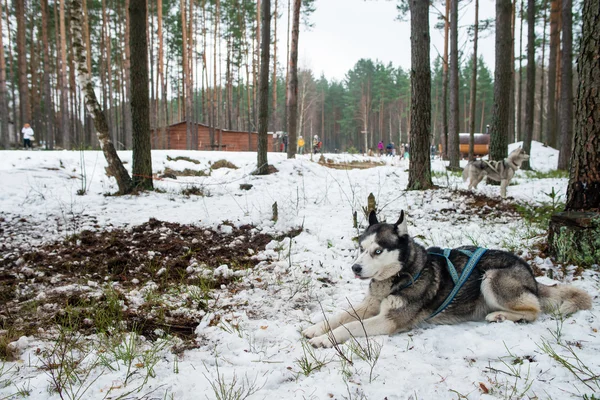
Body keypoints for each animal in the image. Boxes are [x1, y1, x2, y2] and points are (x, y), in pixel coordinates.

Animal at [302, 212, 592, 346]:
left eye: (378, 251)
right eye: (360, 248)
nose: (355, 267)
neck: (401, 275)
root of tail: (529, 271)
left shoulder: (389, 320)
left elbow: (350, 326)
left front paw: (324, 340)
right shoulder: (370, 305)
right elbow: (340, 316)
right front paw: (316, 329)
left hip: (491, 277)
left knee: (534, 310)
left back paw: (501, 316)